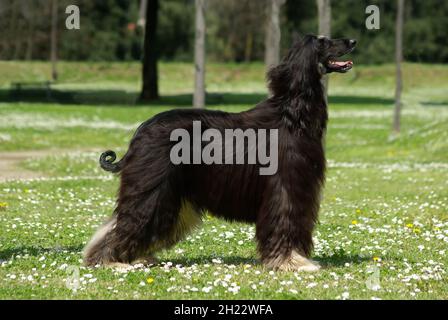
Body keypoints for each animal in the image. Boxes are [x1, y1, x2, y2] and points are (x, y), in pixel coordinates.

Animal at [84, 34, 356, 270]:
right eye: (323, 41)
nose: (353, 41)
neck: (293, 114)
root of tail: (140, 131)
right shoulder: (287, 187)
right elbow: (285, 222)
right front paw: (290, 261)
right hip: (152, 188)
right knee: (129, 222)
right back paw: (110, 261)